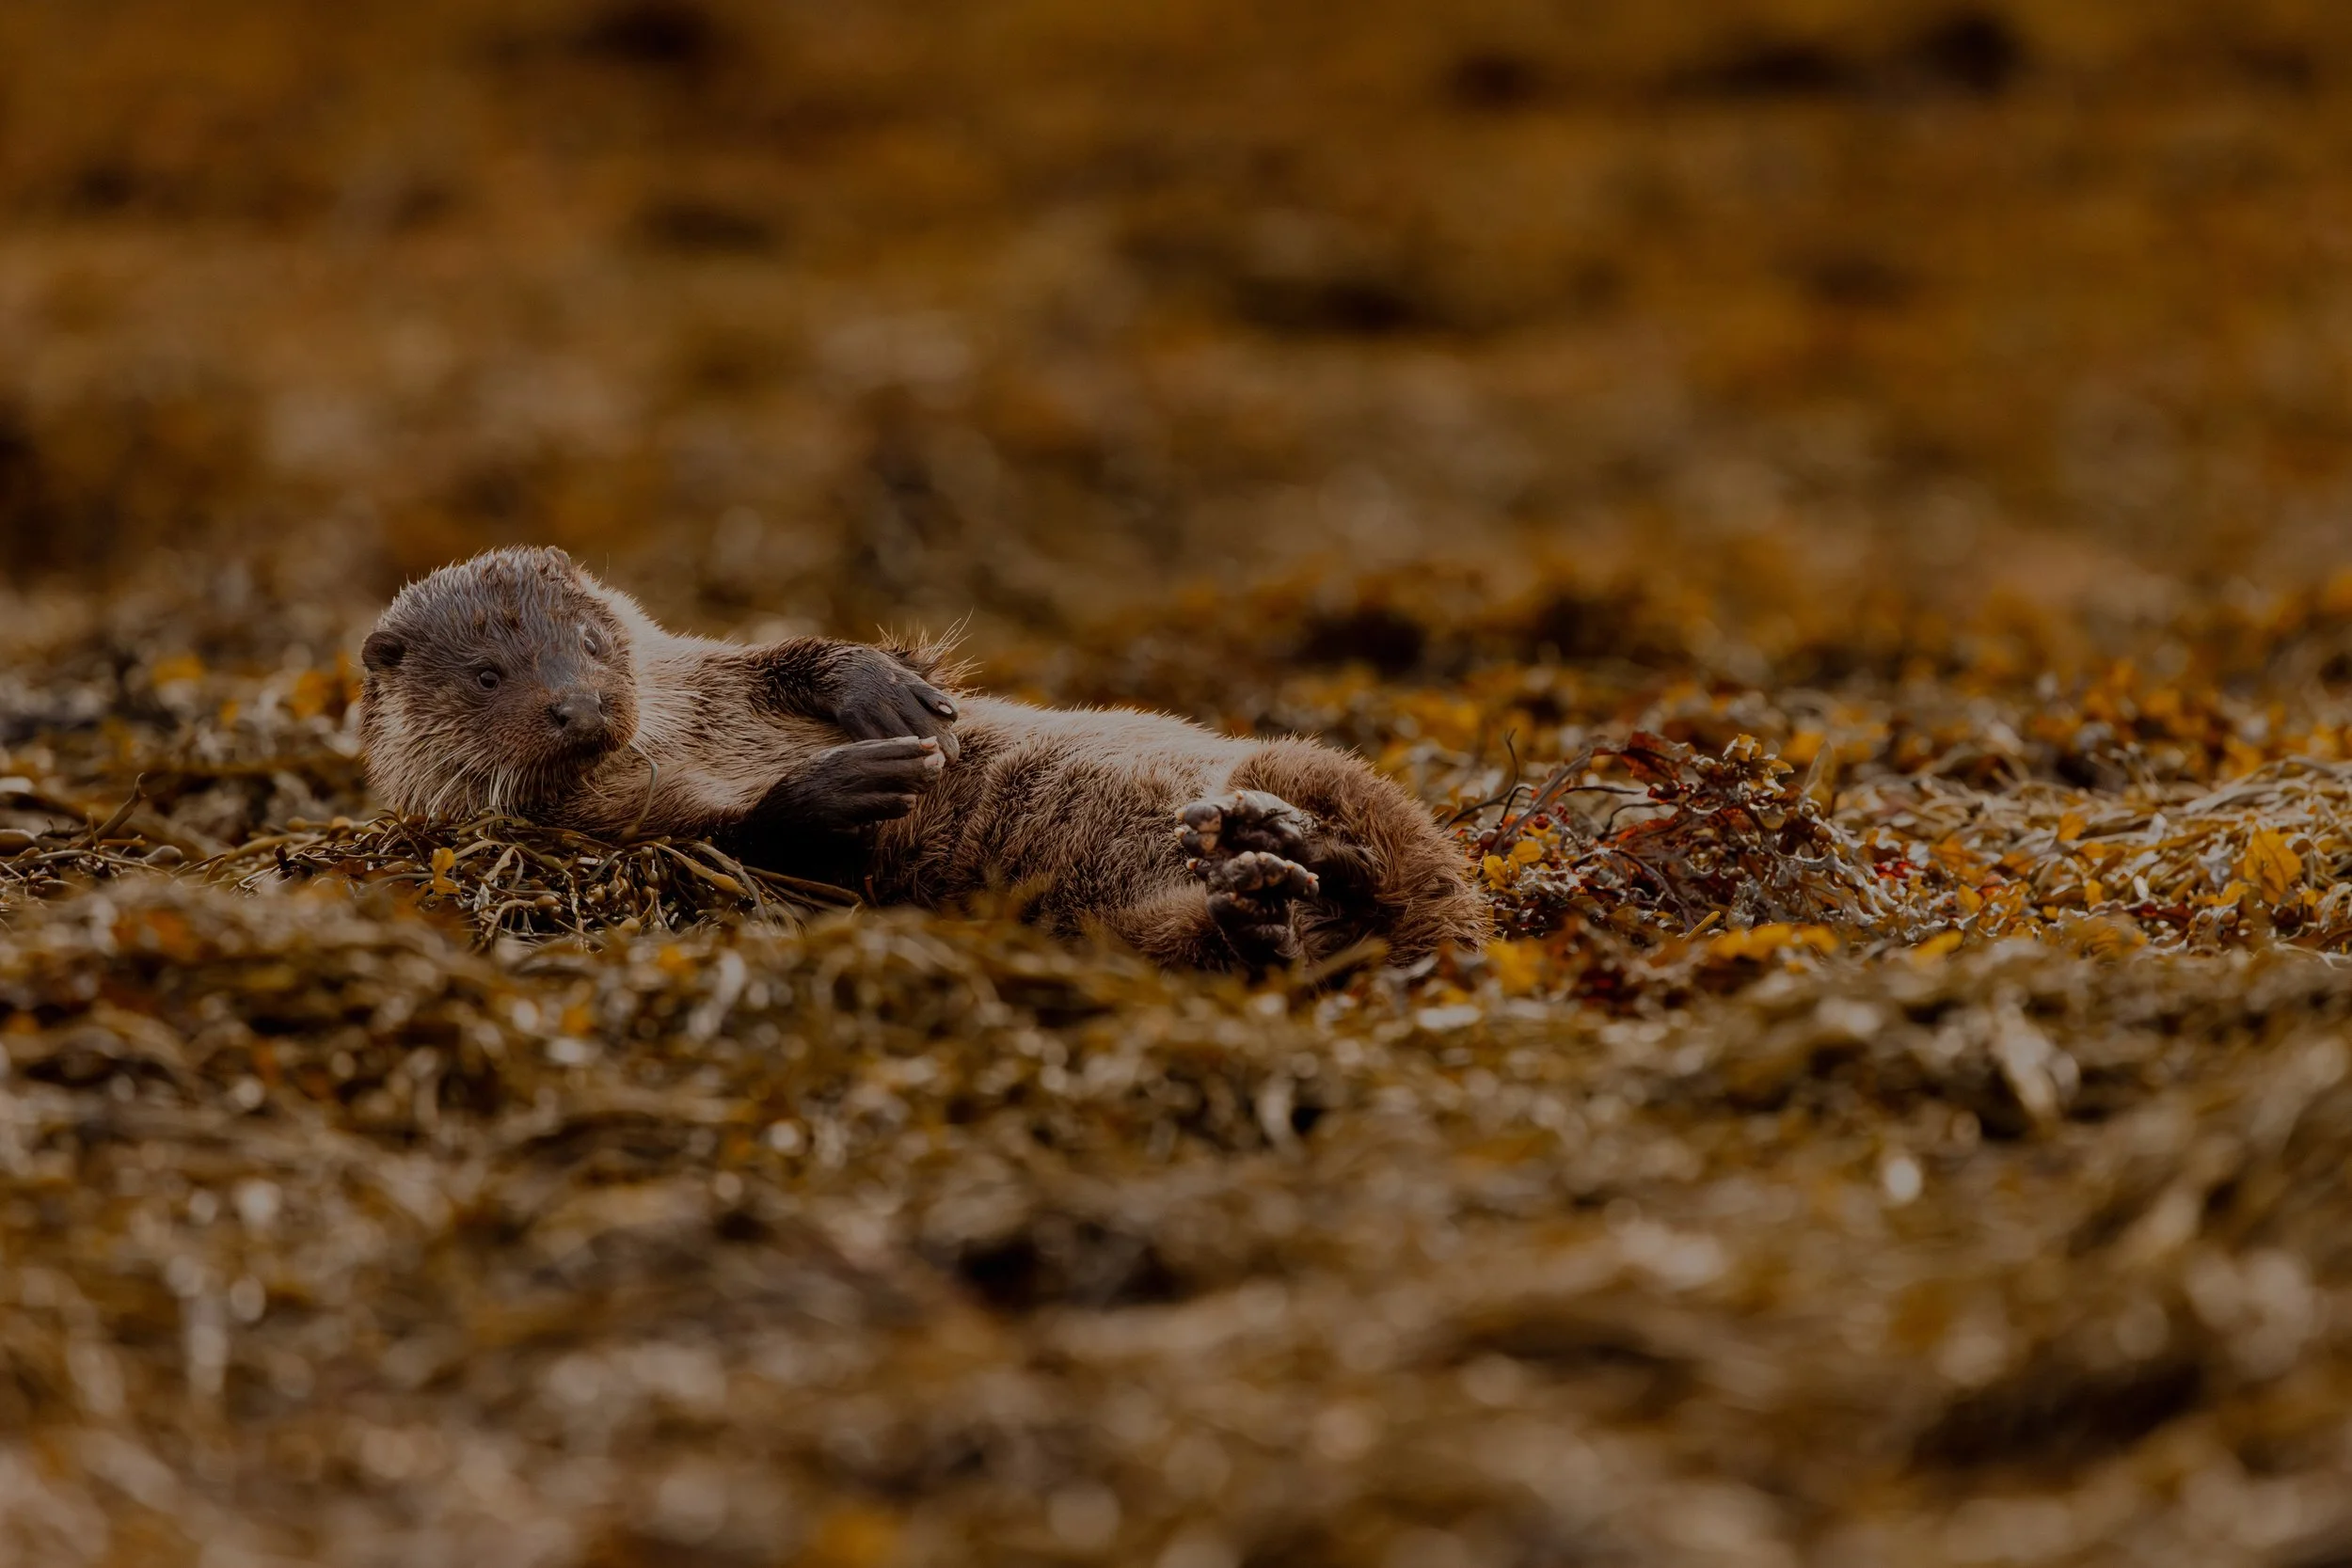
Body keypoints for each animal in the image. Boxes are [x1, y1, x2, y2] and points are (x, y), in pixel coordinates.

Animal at [358, 547, 1487, 970]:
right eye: (489, 674)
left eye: (590, 641)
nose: (579, 704)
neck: (679, 738)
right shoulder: (592, 833)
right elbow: (730, 842)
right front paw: (843, 785)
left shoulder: (709, 665)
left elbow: (811, 654)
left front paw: (882, 692)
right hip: (1136, 929)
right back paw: (1259, 890)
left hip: (1303, 760)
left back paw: (1278, 834)